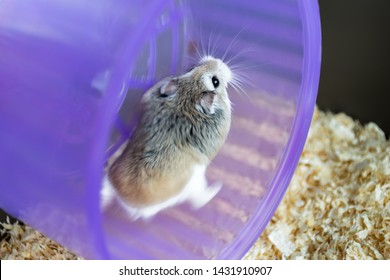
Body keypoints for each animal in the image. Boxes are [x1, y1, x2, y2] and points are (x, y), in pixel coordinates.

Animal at [102, 55, 233, 220]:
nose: (216, 59)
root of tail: (119, 195)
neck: (186, 96)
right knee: (198, 202)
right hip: (195, 183)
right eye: (215, 81)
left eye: (192, 68)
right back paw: (217, 187)